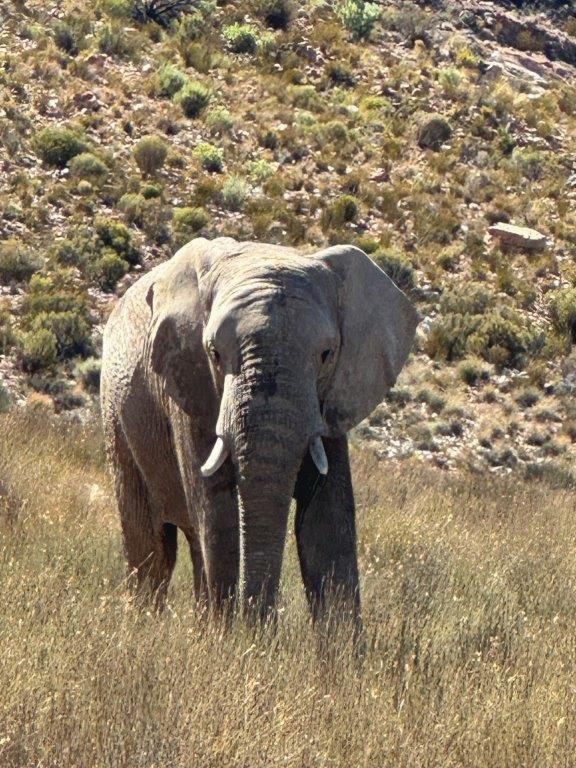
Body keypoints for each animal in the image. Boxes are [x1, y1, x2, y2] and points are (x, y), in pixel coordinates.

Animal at [100, 237, 417, 626]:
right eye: (214, 353)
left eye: (327, 354)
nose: (261, 628)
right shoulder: (190, 384)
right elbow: (217, 511)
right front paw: (228, 639)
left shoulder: (332, 401)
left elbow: (326, 520)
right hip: (116, 414)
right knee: (151, 545)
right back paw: (144, 626)